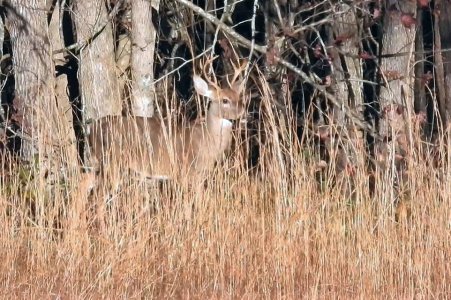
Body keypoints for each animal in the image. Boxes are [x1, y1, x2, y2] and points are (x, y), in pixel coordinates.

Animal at [85, 59, 247, 182]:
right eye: (225, 100)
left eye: (239, 98)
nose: (242, 112)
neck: (206, 140)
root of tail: (93, 128)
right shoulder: (187, 171)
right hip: (113, 161)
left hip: (97, 162)